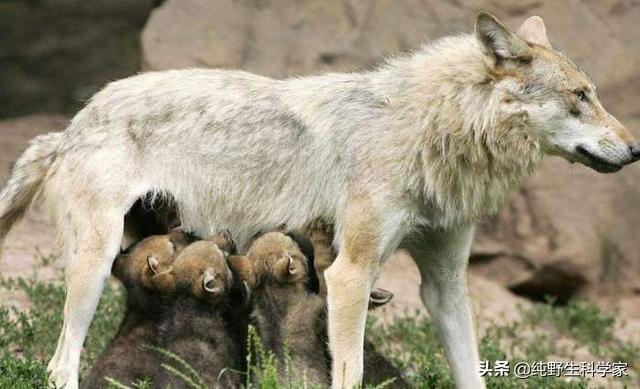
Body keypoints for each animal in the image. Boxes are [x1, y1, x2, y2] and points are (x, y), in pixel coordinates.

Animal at [0, 12, 636, 388]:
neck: (428, 130)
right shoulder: (350, 273)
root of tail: (73, 123)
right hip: (91, 267)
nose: (634, 149)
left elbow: (470, 372)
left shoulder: (445, 283)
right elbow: (347, 373)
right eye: (581, 97)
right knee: (60, 364)